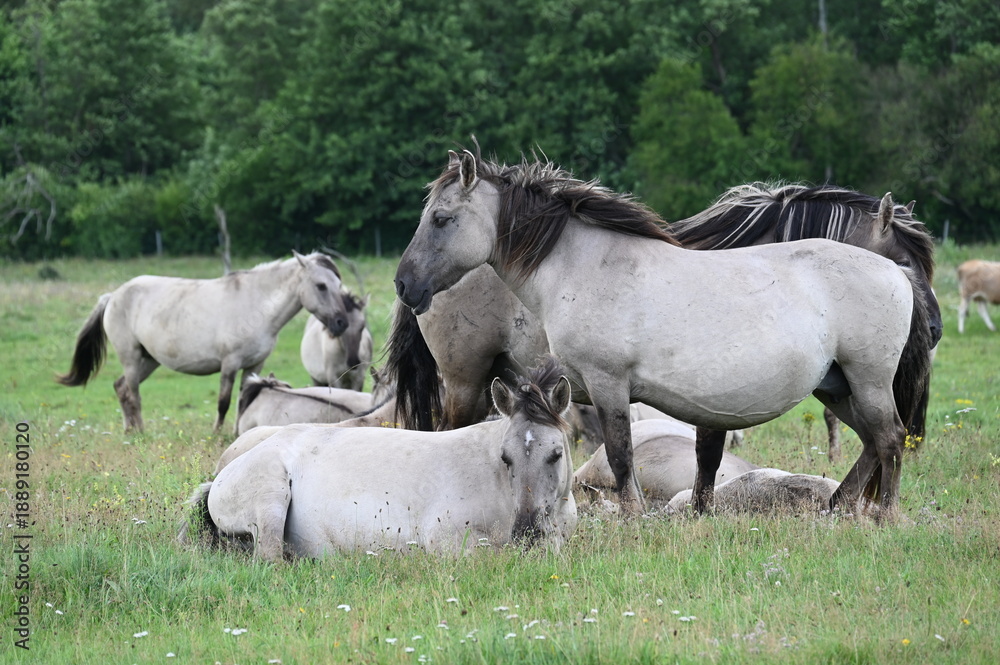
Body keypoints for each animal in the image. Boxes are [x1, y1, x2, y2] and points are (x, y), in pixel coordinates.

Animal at [57, 251, 349, 432]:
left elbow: (243, 398)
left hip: (149, 360)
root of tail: (113, 296)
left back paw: (129, 430)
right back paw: (140, 431)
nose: (341, 323)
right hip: (131, 357)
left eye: (338, 285)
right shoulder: (229, 364)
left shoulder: (253, 365)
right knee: (133, 393)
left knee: (120, 388)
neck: (256, 304)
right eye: (321, 286)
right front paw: (217, 433)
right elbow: (224, 402)